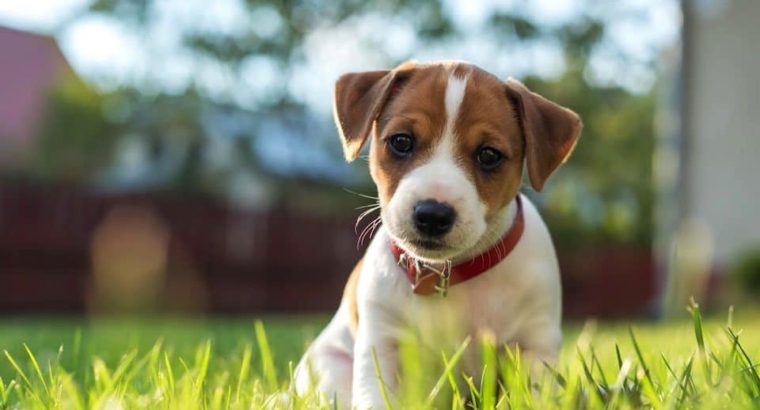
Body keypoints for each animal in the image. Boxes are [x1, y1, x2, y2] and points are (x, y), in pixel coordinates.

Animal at [294, 59, 580, 408]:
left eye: (489, 155)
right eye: (401, 141)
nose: (432, 214)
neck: (448, 273)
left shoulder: (534, 344)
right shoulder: (381, 343)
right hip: (328, 368)